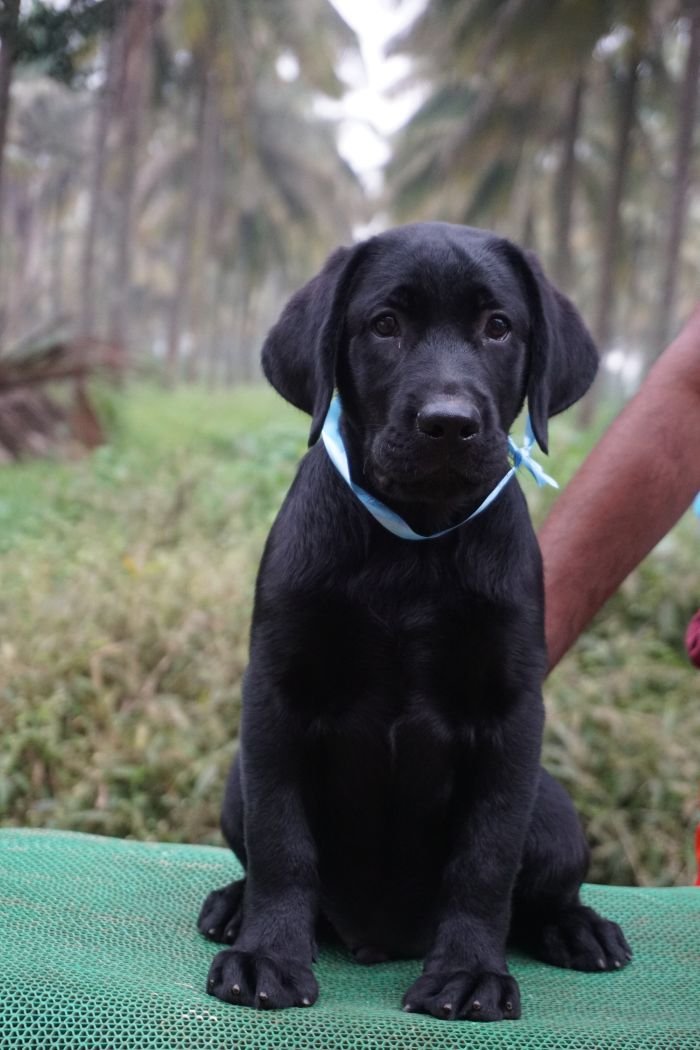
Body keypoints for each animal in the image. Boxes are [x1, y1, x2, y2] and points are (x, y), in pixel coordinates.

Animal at [196, 221, 629, 1016]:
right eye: (385, 324)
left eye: (498, 327)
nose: (448, 424)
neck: (415, 546)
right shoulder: (274, 694)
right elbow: (282, 843)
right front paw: (268, 954)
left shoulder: (511, 714)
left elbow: (485, 861)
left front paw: (469, 972)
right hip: (237, 782)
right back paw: (236, 907)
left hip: (553, 809)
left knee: (540, 893)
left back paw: (578, 928)